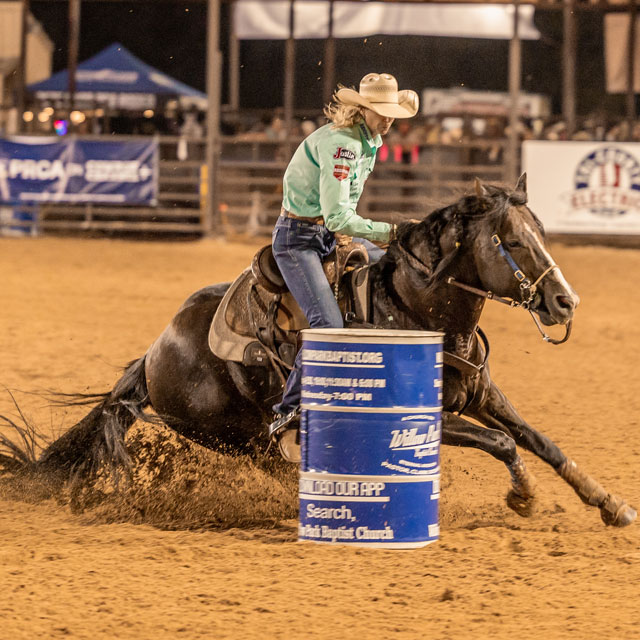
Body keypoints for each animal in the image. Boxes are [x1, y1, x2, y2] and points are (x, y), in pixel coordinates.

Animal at [8, 178, 636, 528]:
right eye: (510, 242)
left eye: (542, 234)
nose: (565, 301)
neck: (417, 311)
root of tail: (155, 351)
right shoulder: (424, 415)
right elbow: (503, 443)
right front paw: (523, 496)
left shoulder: (480, 392)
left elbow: (540, 441)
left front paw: (609, 504)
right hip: (232, 435)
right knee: (278, 464)